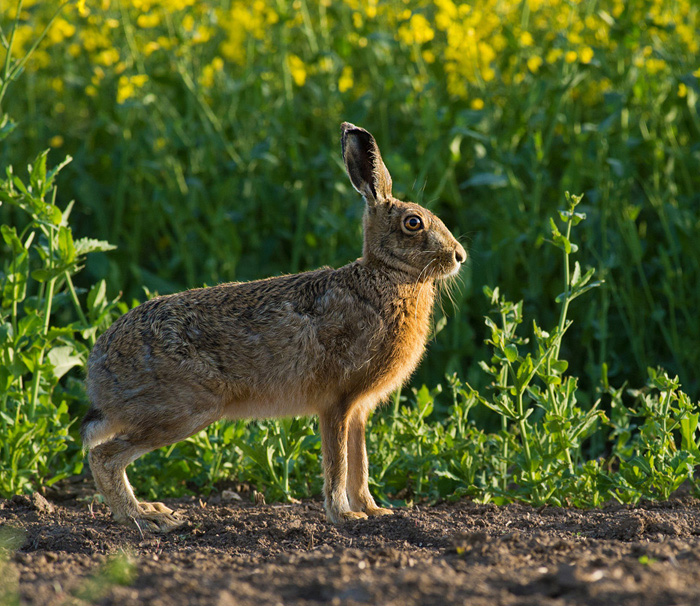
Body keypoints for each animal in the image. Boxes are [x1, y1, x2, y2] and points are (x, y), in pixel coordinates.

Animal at [81, 122, 467, 532]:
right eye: (414, 223)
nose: (459, 256)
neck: (387, 276)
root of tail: (97, 371)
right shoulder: (337, 401)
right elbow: (338, 464)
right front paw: (344, 516)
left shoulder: (359, 410)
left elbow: (359, 464)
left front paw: (375, 511)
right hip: (183, 410)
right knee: (104, 456)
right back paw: (142, 517)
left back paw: (148, 510)